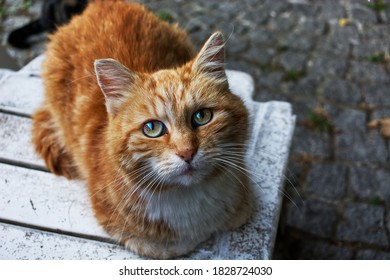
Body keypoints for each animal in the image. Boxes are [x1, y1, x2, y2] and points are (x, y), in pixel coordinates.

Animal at [30, 0, 251, 258]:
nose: (187, 152)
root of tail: (98, 4)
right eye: (152, 128)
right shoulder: (131, 234)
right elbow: (168, 246)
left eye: (202, 116)